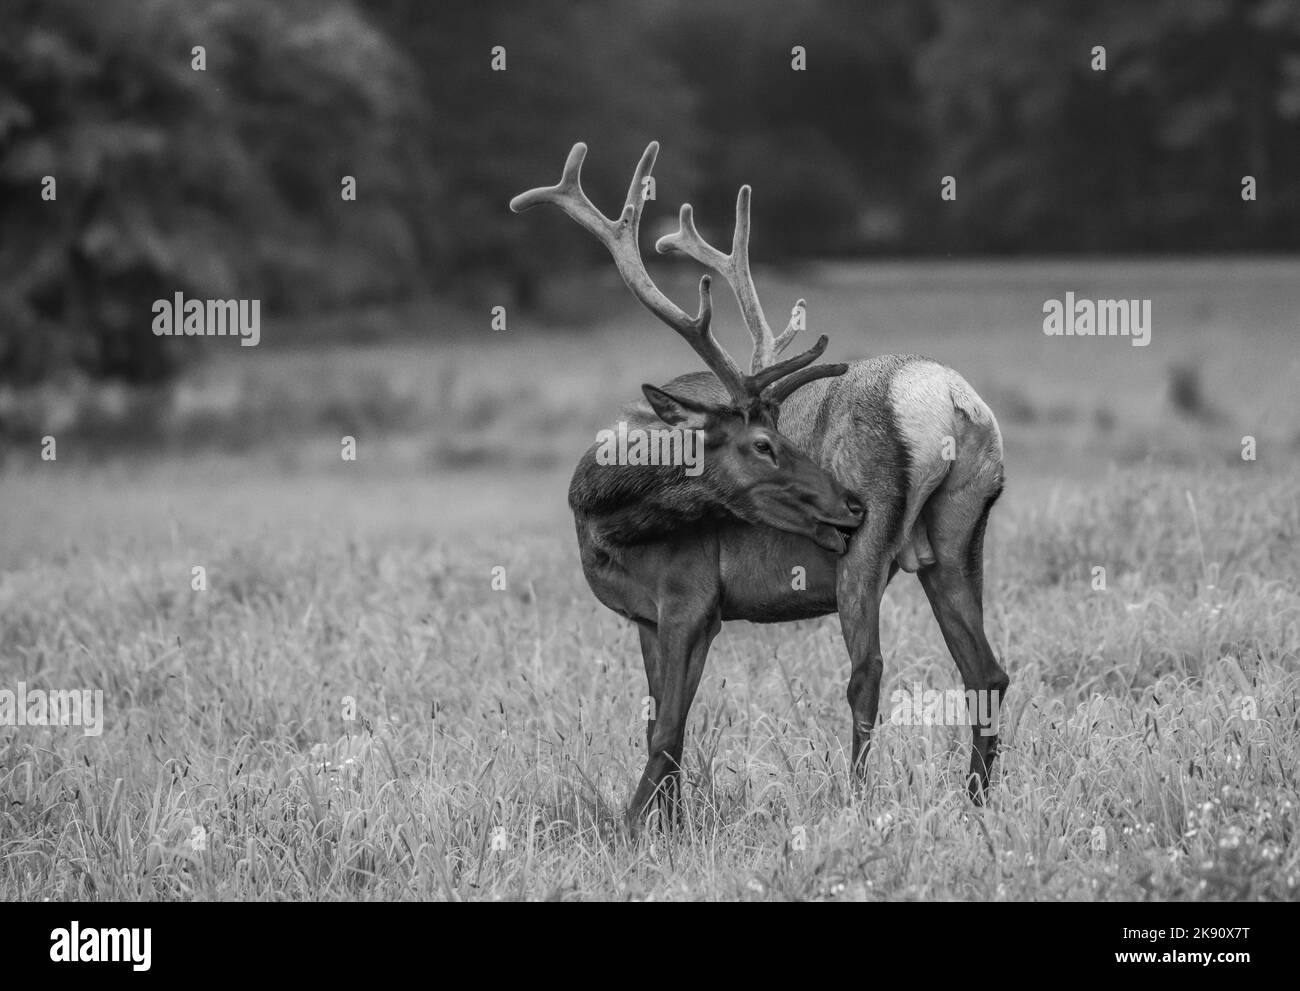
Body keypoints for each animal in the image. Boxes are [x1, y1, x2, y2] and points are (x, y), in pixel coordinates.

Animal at [506, 137, 1003, 816]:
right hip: (956, 539)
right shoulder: (649, 616)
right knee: (986, 673)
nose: (848, 503)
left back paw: (853, 800)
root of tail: (954, 401)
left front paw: (633, 825)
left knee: (868, 674)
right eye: (765, 443)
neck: (603, 520)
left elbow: (667, 730)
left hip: (866, 551)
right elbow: (662, 723)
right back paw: (976, 800)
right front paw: (671, 821)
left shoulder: (690, 595)